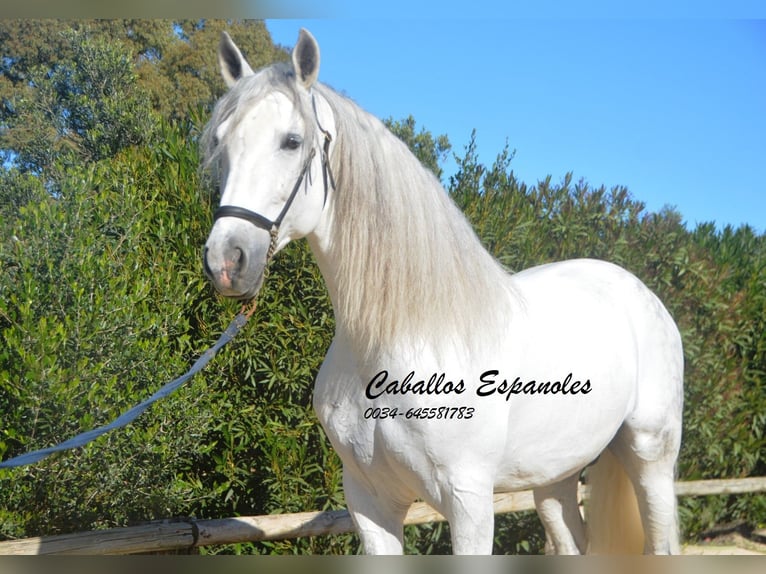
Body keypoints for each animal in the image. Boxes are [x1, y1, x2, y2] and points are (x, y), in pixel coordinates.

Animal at [201, 29, 688, 556]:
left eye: (291, 141)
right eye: (222, 144)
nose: (226, 261)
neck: (398, 339)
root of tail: (637, 290)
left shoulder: (468, 499)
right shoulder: (368, 501)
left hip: (651, 456)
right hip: (554, 477)